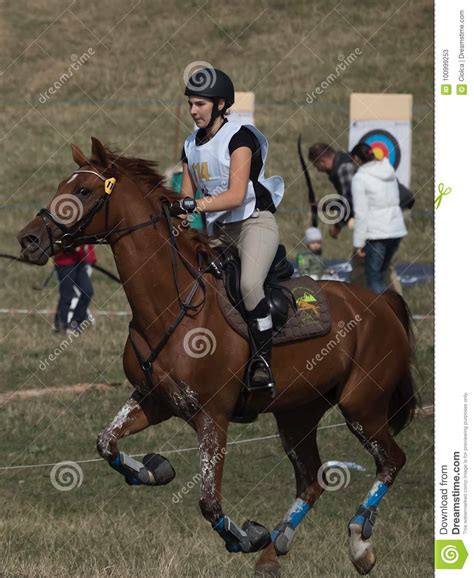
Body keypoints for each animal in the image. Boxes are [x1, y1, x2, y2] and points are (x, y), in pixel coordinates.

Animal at [18, 137, 416, 572]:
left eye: (84, 191)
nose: (28, 240)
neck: (169, 307)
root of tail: (382, 303)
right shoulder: (155, 400)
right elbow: (107, 443)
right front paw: (156, 469)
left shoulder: (213, 417)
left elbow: (209, 502)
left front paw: (247, 536)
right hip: (298, 413)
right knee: (311, 480)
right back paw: (273, 552)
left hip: (361, 405)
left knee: (391, 461)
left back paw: (359, 542)